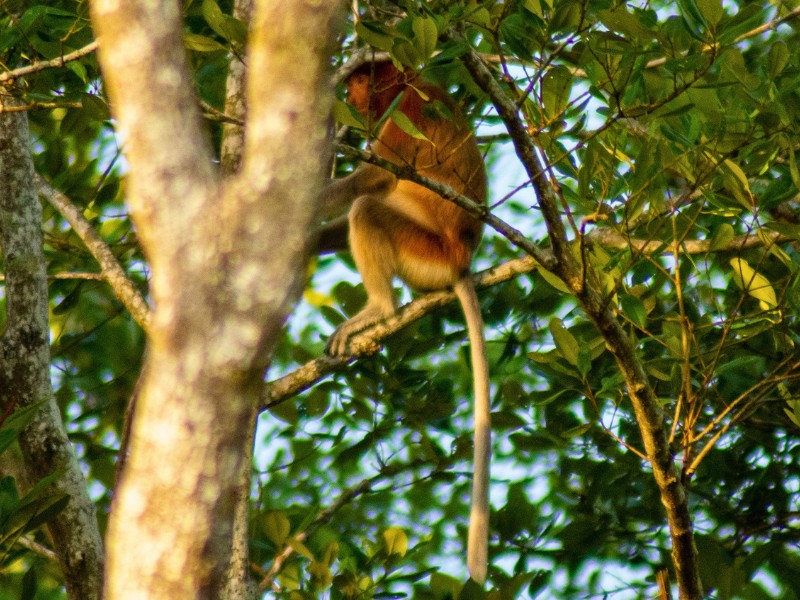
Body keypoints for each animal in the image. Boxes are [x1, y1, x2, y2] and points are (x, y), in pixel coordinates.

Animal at [319, 61, 490, 584]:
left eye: (360, 79)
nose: (350, 97)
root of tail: (461, 260)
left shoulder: (404, 112)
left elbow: (370, 179)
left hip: (423, 250)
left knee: (368, 209)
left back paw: (379, 310)